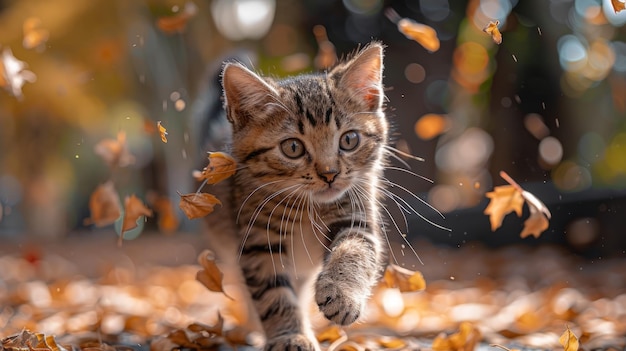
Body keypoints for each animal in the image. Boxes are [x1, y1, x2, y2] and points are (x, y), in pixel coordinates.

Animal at [205, 42, 388, 350]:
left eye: (349, 140)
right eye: (293, 148)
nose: (330, 174)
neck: (309, 207)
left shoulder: (355, 214)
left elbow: (355, 251)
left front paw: (343, 294)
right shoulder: (258, 241)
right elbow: (273, 294)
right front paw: (290, 335)